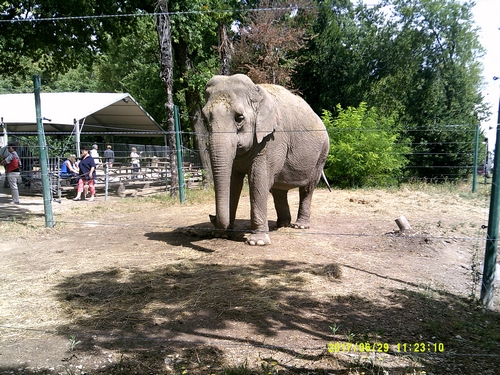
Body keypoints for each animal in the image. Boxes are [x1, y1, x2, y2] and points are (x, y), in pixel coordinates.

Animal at [201, 75, 330, 247]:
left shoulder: (273, 139)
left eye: (239, 118)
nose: (212, 217)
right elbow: (233, 182)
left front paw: (258, 242)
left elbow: (258, 180)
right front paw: (223, 235)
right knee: (279, 190)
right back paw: (282, 225)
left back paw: (299, 226)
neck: (257, 93)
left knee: (307, 189)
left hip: (321, 154)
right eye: (204, 118)